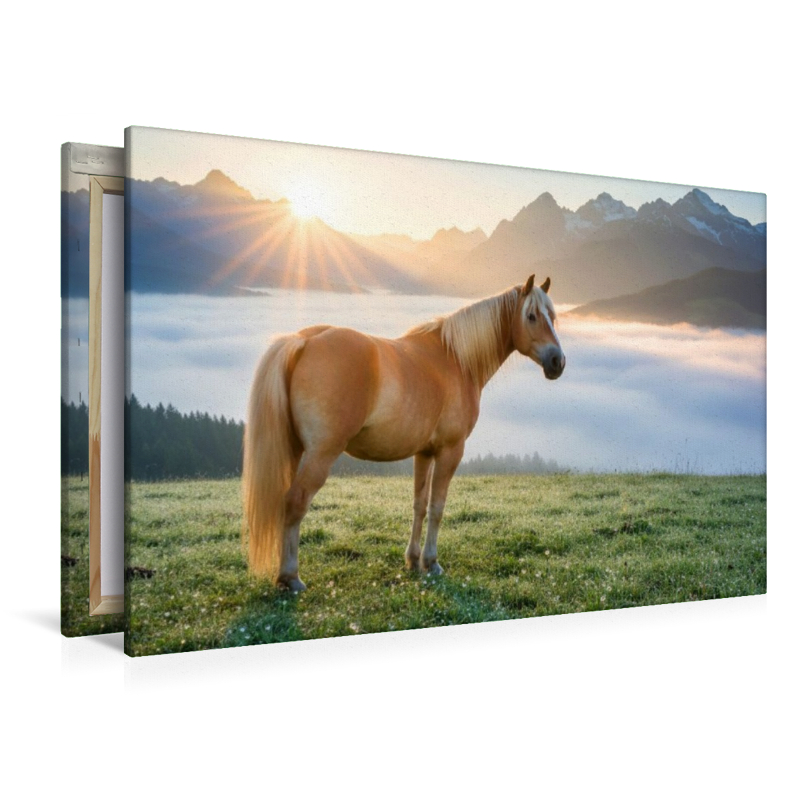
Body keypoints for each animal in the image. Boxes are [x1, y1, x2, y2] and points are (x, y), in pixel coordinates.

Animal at [242, 274, 565, 591]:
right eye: (532, 316)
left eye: (552, 316)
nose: (557, 362)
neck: (455, 359)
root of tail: (304, 341)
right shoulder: (450, 451)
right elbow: (437, 507)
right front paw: (431, 562)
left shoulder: (424, 453)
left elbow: (419, 505)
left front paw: (412, 559)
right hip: (321, 454)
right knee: (295, 502)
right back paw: (290, 577)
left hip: (295, 450)